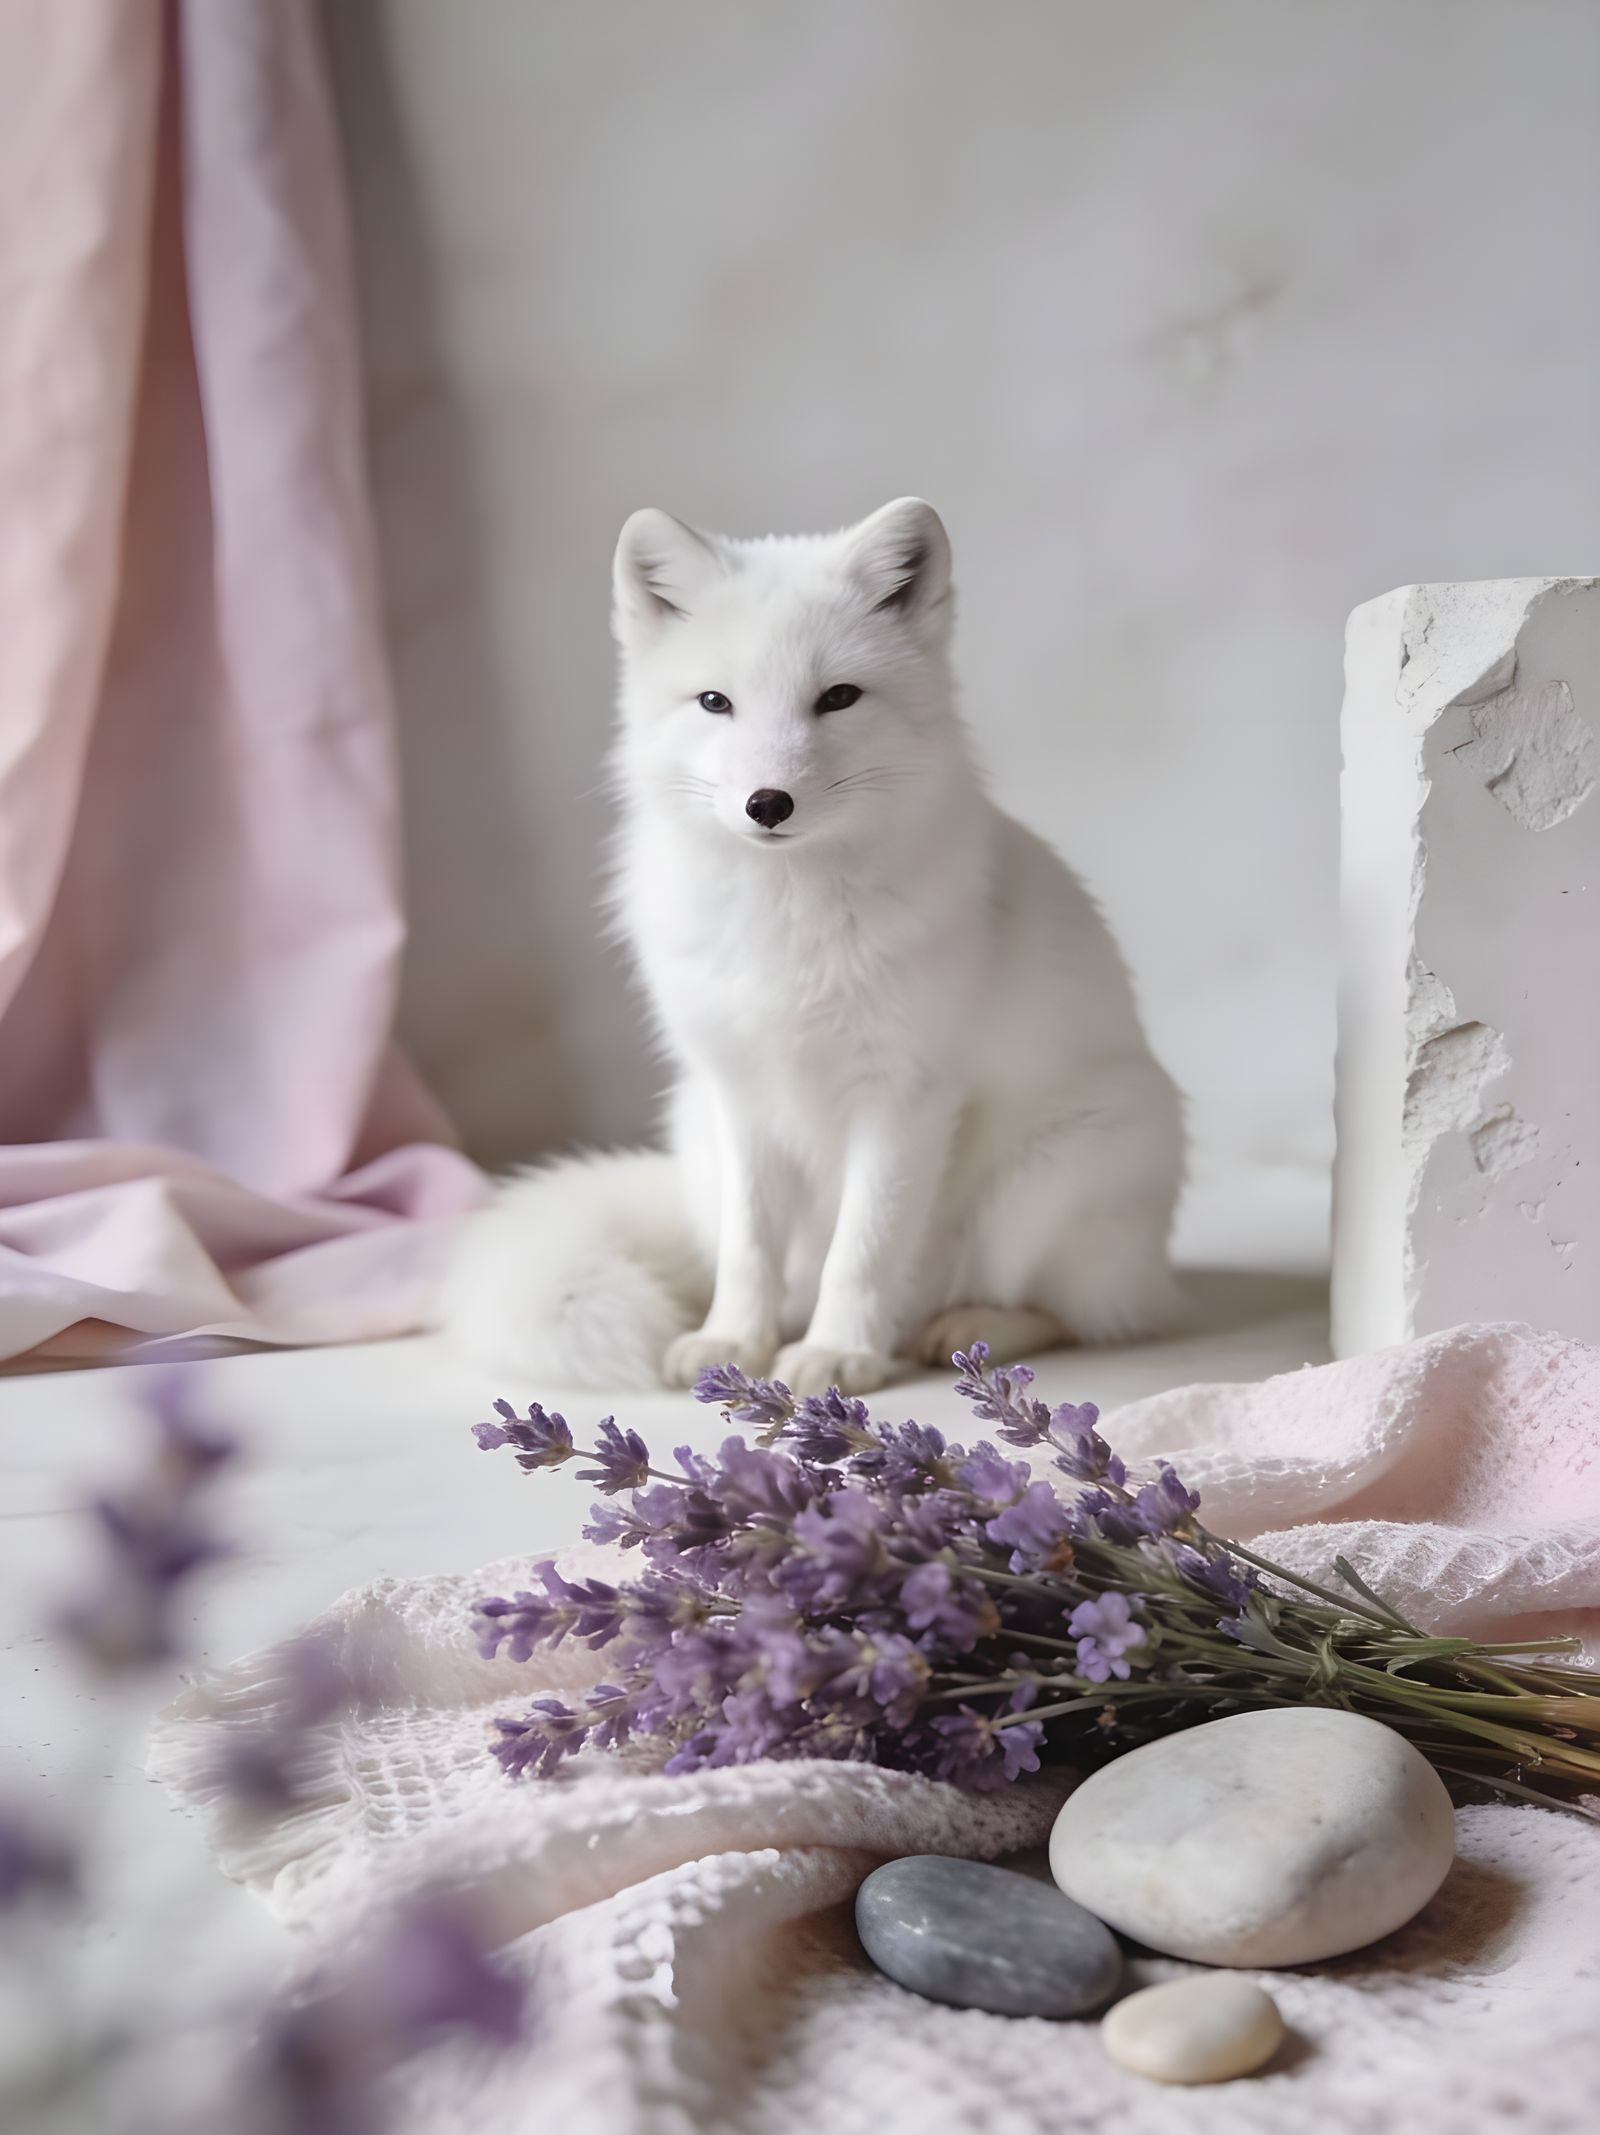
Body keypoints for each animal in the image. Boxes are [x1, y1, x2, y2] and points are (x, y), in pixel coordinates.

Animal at [439, 498, 1186, 1395]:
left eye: (839, 697)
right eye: (714, 701)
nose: (768, 803)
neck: (787, 920)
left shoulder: (905, 1097)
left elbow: (861, 1250)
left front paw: (839, 1354)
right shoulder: (740, 1093)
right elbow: (747, 1251)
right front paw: (734, 1342)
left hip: (1043, 1187)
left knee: (1073, 1313)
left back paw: (963, 1330)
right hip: (695, 1133)